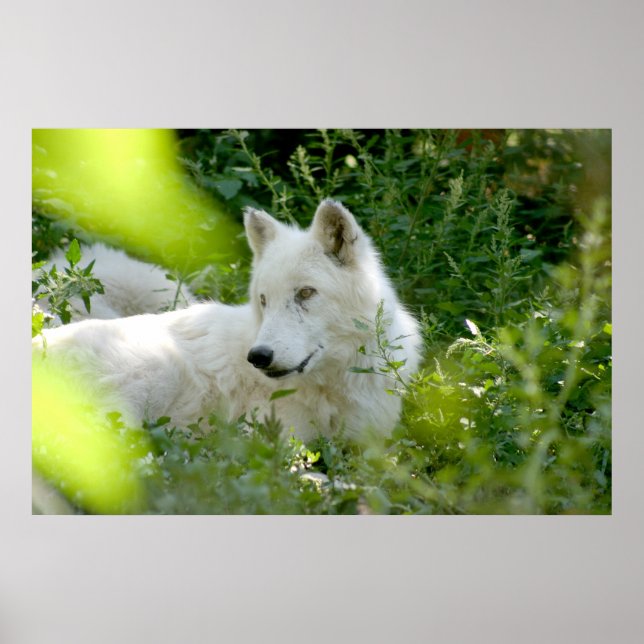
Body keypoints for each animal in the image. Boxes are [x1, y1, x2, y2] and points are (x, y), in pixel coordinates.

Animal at [33, 200, 422, 442]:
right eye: (264, 300)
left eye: (305, 293)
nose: (258, 357)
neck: (337, 386)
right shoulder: (270, 435)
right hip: (157, 368)